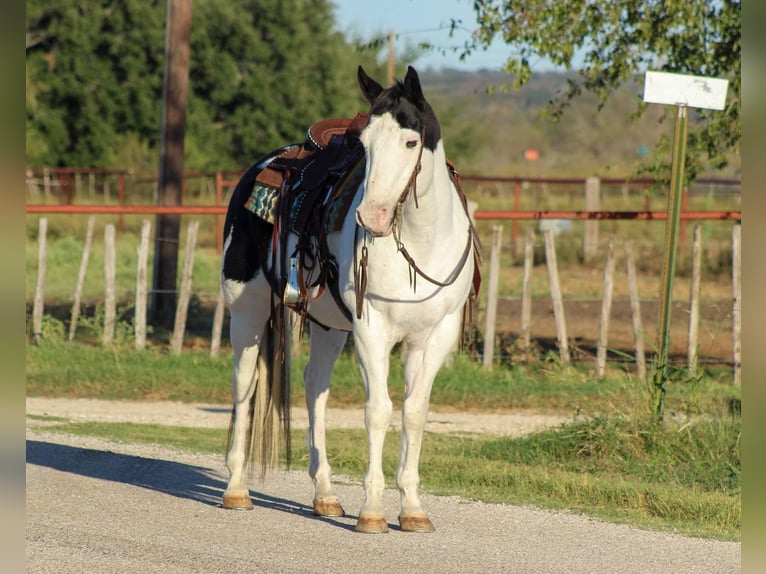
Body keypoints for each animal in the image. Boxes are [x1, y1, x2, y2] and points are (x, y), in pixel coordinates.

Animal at [220, 65, 480, 533]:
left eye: (410, 142)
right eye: (365, 145)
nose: (371, 218)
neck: (421, 243)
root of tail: (258, 169)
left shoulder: (435, 335)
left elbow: (414, 411)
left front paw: (412, 509)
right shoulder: (371, 329)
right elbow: (377, 410)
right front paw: (373, 511)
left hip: (328, 327)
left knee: (314, 387)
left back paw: (325, 496)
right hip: (247, 313)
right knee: (244, 387)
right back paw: (236, 489)